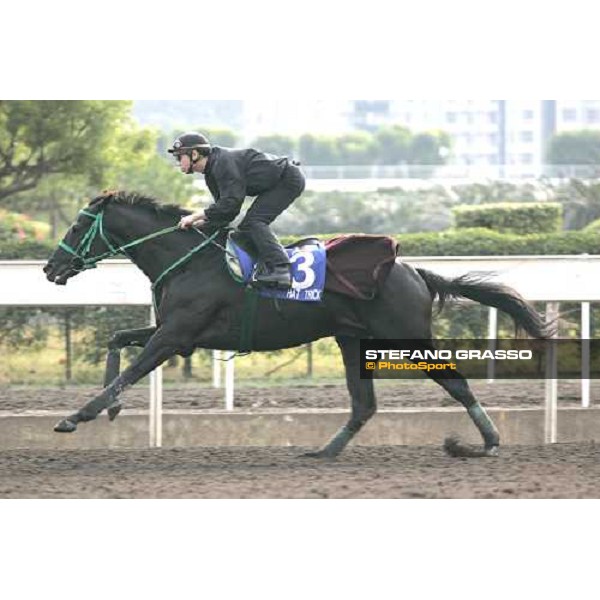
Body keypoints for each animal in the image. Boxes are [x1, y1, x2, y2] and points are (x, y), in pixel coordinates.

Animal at [42, 190, 552, 458]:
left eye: (75, 227)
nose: (50, 269)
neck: (189, 261)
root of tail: (415, 271)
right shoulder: (177, 334)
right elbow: (117, 341)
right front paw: (111, 409)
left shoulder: (175, 336)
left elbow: (130, 370)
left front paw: (77, 416)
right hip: (351, 340)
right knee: (363, 404)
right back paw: (325, 451)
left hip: (407, 337)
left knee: (456, 383)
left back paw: (486, 442)